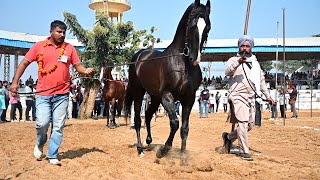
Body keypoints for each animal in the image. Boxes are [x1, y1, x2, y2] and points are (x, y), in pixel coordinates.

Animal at [124, 0, 210, 158]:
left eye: (207, 27)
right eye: (192, 25)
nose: (195, 59)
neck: (182, 63)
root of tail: (139, 55)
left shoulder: (189, 99)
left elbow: (184, 128)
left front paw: (183, 156)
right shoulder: (167, 97)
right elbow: (175, 123)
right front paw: (164, 150)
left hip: (154, 96)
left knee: (148, 114)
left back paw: (148, 140)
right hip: (139, 93)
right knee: (138, 119)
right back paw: (140, 149)